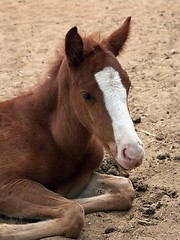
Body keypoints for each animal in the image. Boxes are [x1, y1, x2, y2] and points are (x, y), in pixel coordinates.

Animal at [0, 16, 144, 238]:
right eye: (86, 94)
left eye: (128, 85)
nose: (133, 153)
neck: (52, 138)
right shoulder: (9, 184)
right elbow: (73, 212)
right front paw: (4, 228)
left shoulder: (81, 179)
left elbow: (124, 189)